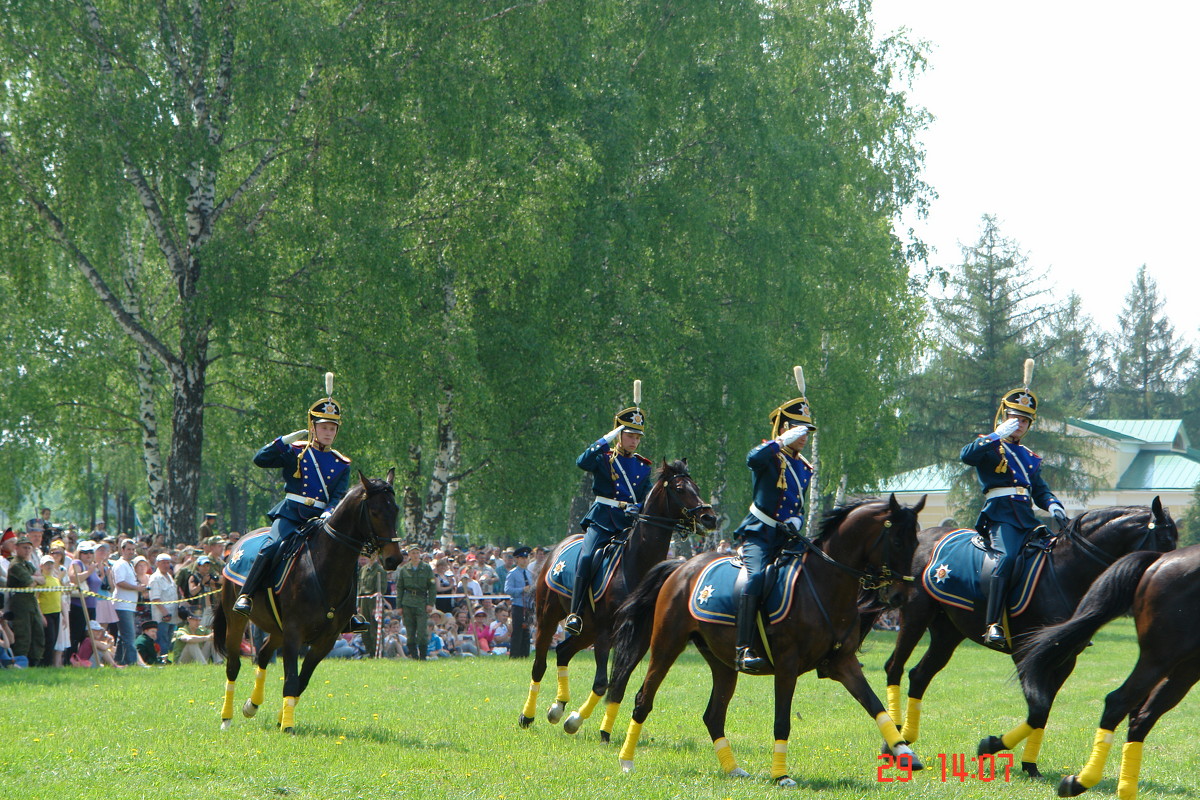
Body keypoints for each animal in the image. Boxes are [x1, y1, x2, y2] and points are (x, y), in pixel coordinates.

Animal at [213, 472, 405, 734]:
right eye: (375, 511)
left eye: (395, 509)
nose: (394, 559)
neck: (324, 567)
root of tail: (238, 544)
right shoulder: (294, 633)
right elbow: (291, 679)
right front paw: (287, 726)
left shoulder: (325, 640)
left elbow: (301, 682)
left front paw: (283, 718)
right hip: (237, 620)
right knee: (233, 665)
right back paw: (226, 718)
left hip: (277, 630)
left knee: (262, 655)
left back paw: (252, 705)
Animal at [516, 460, 710, 743]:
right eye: (679, 488)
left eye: (697, 486)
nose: (710, 517)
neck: (636, 565)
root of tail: (558, 547)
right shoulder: (607, 632)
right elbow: (601, 683)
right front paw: (575, 721)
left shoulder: (639, 636)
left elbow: (618, 684)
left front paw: (603, 732)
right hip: (549, 617)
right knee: (539, 664)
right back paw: (527, 716)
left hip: (586, 629)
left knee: (562, 652)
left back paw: (557, 707)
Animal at [604, 496, 921, 786]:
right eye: (896, 541)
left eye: (917, 541)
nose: (900, 596)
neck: (823, 583)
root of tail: (682, 567)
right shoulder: (786, 665)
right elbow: (782, 721)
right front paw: (781, 775)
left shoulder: (843, 663)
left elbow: (876, 706)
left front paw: (905, 752)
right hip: (666, 646)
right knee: (643, 699)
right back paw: (626, 761)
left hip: (722, 663)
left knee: (713, 715)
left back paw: (733, 769)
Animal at [868, 501, 1176, 777]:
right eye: (1164, 538)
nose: (1165, 577)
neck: (1064, 572)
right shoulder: (1025, 654)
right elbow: (1038, 709)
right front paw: (991, 745)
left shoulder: (1064, 660)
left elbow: (1043, 711)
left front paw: (1029, 765)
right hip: (915, 617)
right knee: (894, 668)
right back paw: (893, 742)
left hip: (947, 634)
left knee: (919, 675)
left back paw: (905, 740)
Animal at [1017, 544, 1200, 800]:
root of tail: (1160, 560)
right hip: (1162, 657)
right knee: (1120, 703)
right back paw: (1083, 781)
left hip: (1186, 666)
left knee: (1142, 716)